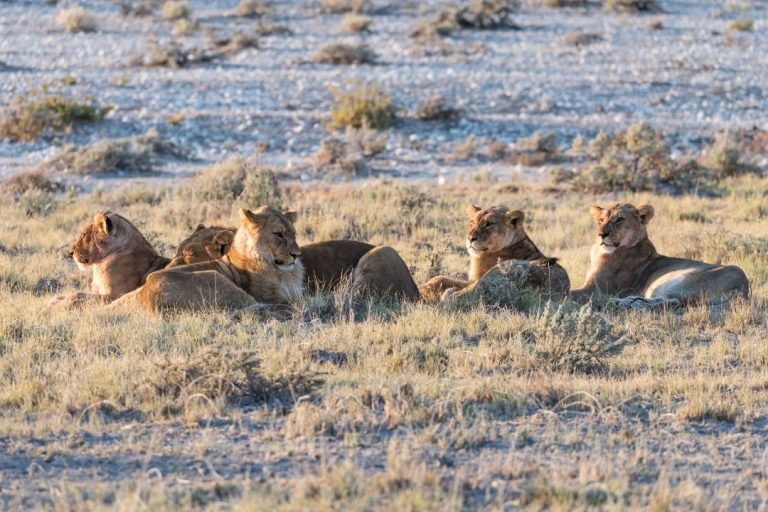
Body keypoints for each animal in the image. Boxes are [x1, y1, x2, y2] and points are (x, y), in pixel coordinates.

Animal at [420, 205, 568, 304]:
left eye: (489, 224)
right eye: (472, 222)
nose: (470, 238)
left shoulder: (476, 279)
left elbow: (443, 280)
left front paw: (424, 288)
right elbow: (440, 278)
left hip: (498, 271)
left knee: (461, 294)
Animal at [568, 203, 752, 308]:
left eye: (620, 219)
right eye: (600, 220)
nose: (602, 234)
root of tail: (743, 285)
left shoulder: (595, 288)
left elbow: (571, 292)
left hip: (674, 281)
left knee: (674, 301)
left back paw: (624, 303)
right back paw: (630, 301)